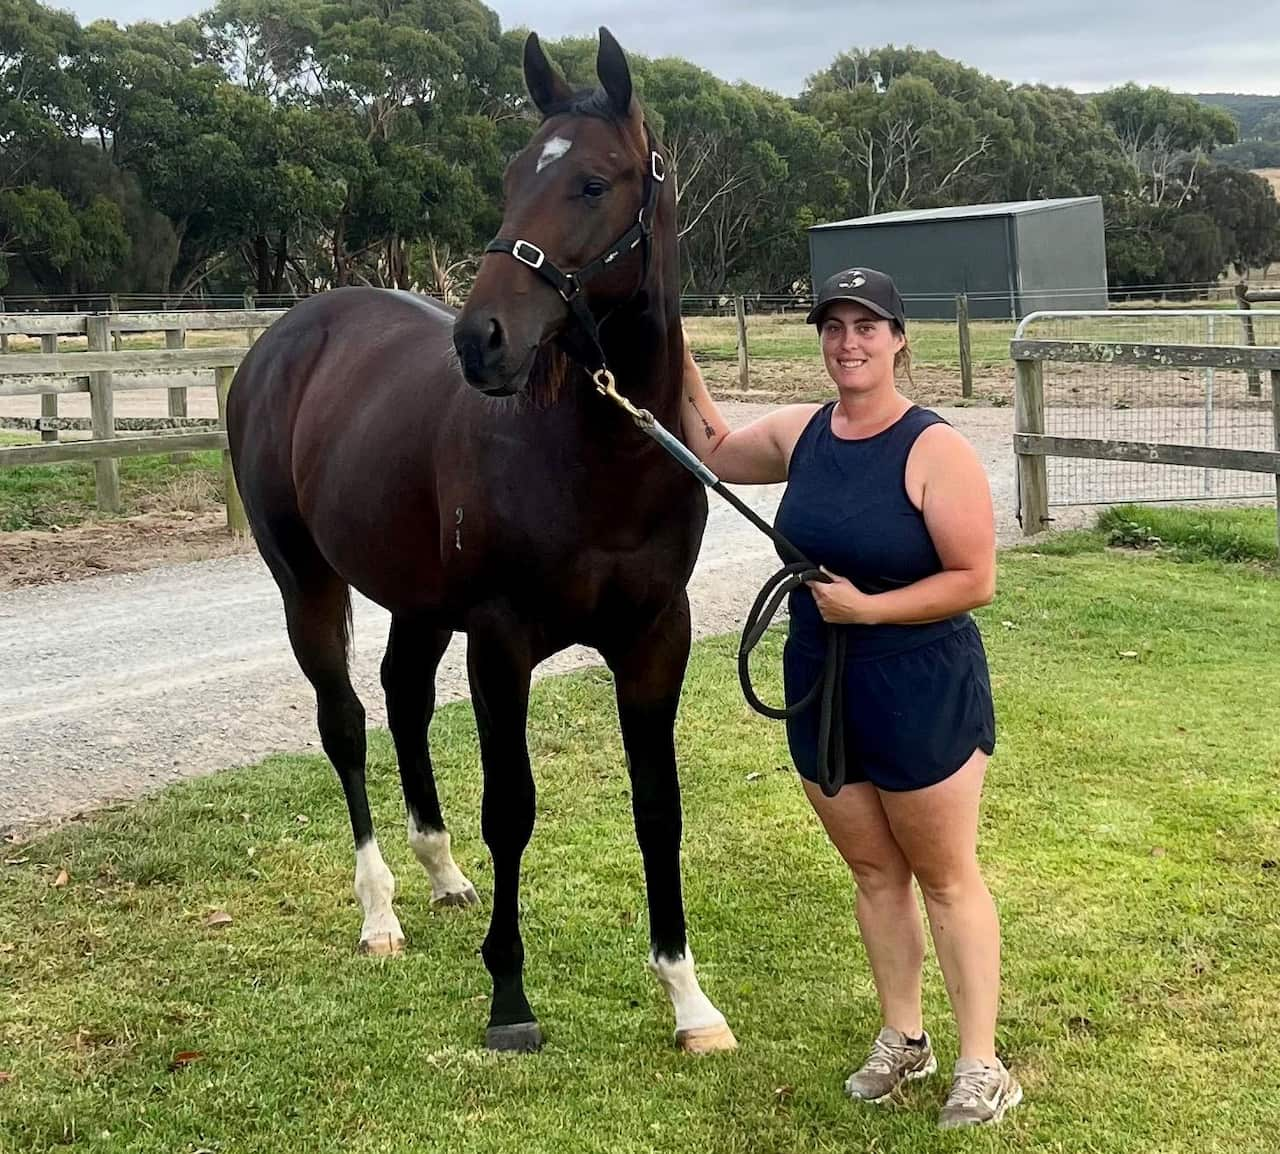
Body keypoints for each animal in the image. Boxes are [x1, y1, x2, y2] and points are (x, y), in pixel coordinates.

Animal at [225, 27, 737, 1059]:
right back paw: (380, 910)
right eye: (510, 178)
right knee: (346, 724)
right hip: (307, 584)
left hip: (419, 603)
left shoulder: (655, 641)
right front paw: (509, 997)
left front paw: (688, 999)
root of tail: (285, 336)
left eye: (593, 182)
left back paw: (440, 871)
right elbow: (513, 813)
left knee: (403, 699)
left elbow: (657, 811)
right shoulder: (502, 644)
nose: (481, 341)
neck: (602, 459)